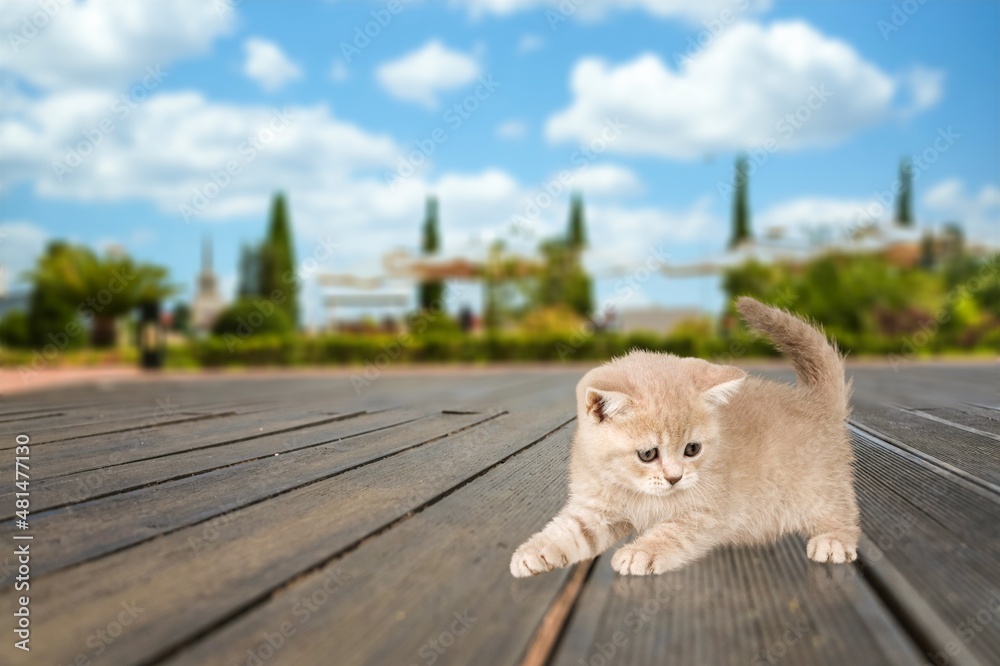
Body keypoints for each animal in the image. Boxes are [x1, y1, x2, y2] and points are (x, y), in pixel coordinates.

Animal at [512, 298, 864, 572]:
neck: (637, 492)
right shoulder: (596, 511)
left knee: (844, 512)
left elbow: (671, 533)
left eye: (692, 449)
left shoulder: (706, 514)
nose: (675, 478)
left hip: (820, 488)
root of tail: (813, 400)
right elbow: (569, 531)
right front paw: (533, 551)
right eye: (647, 454)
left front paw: (639, 552)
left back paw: (833, 540)